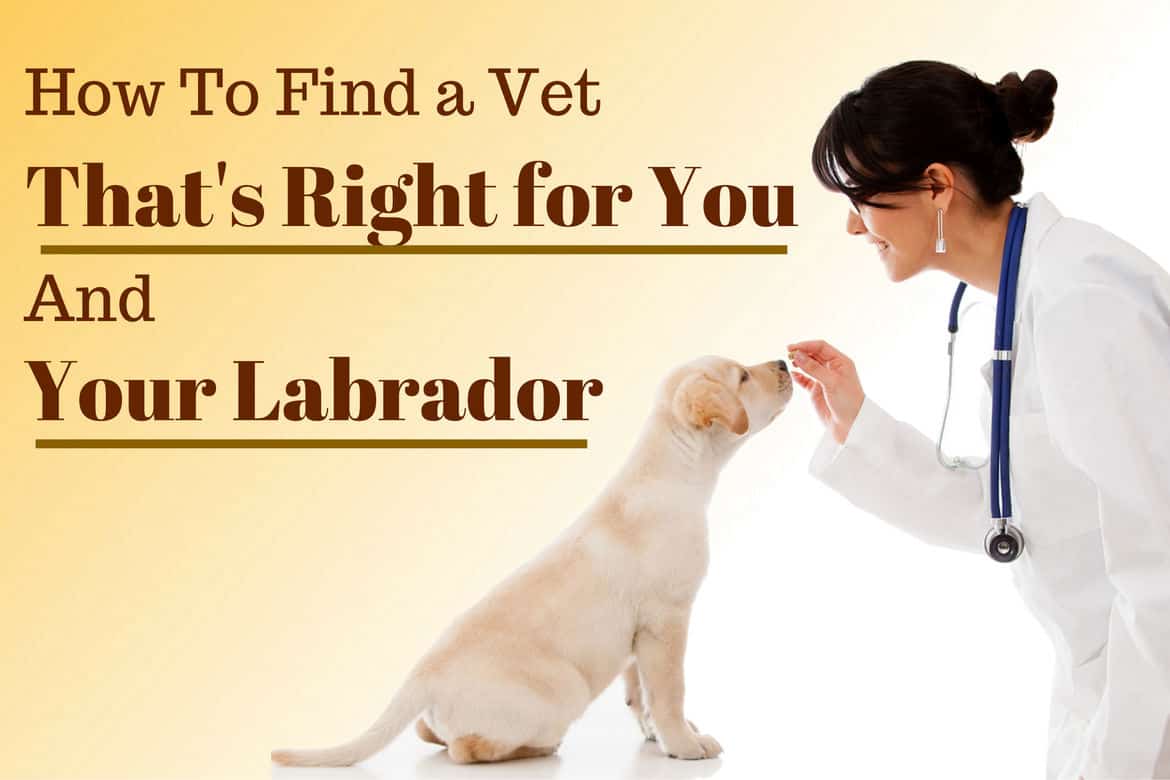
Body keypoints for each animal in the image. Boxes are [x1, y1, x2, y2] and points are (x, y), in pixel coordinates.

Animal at [269, 355, 790, 767]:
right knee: (466, 748)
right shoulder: (667, 619)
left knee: (431, 732)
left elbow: (639, 693)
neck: (676, 470)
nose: (784, 363)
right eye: (744, 376)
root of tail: (421, 675)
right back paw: (537, 747)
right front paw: (684, 744)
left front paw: (655, 735)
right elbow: (668, 691)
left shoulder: (639, 635)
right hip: (564, 689)